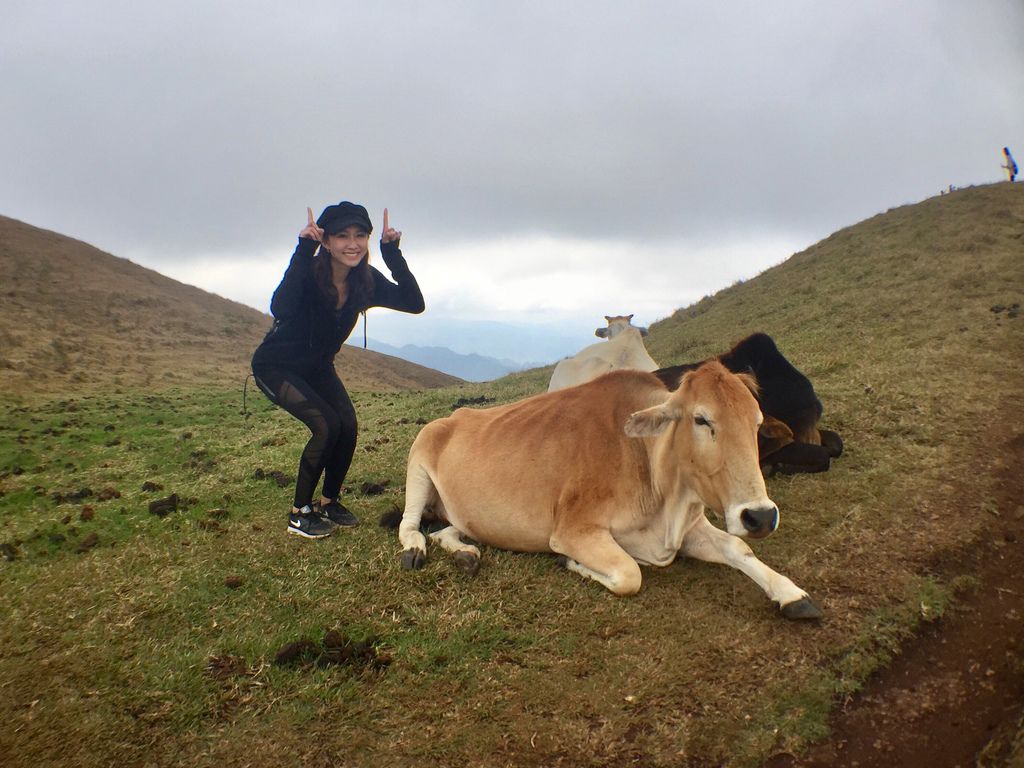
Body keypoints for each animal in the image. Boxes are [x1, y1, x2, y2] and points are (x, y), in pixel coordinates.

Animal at [399, 360, 823, 618]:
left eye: (756, 422)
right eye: (702, 420)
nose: (760, 516)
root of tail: (453, 416)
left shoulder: (689, 527)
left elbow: (738, 547)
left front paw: (790, 592)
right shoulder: (573, 530)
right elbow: (629, 573)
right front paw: (571, 563)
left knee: (445, 530)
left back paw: (465, 553)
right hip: (418, 462)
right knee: (410, 526)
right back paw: (416, 550)